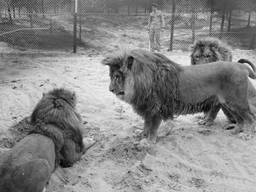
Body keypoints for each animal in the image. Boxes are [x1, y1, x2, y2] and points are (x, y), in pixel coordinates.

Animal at [102, 49, 256, 142]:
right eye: (110, 76)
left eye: (117, 76)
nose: (110, 89)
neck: (142, 81)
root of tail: (241, 66)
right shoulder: (147, 110)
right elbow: (146, 125)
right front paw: (142, 136)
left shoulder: (156, 109)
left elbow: (153, 127)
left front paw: (148, 142)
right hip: (229, 104)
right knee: (240, 119)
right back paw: (235, 131)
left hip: (237, 102)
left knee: (250, 118)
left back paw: (247, 134)